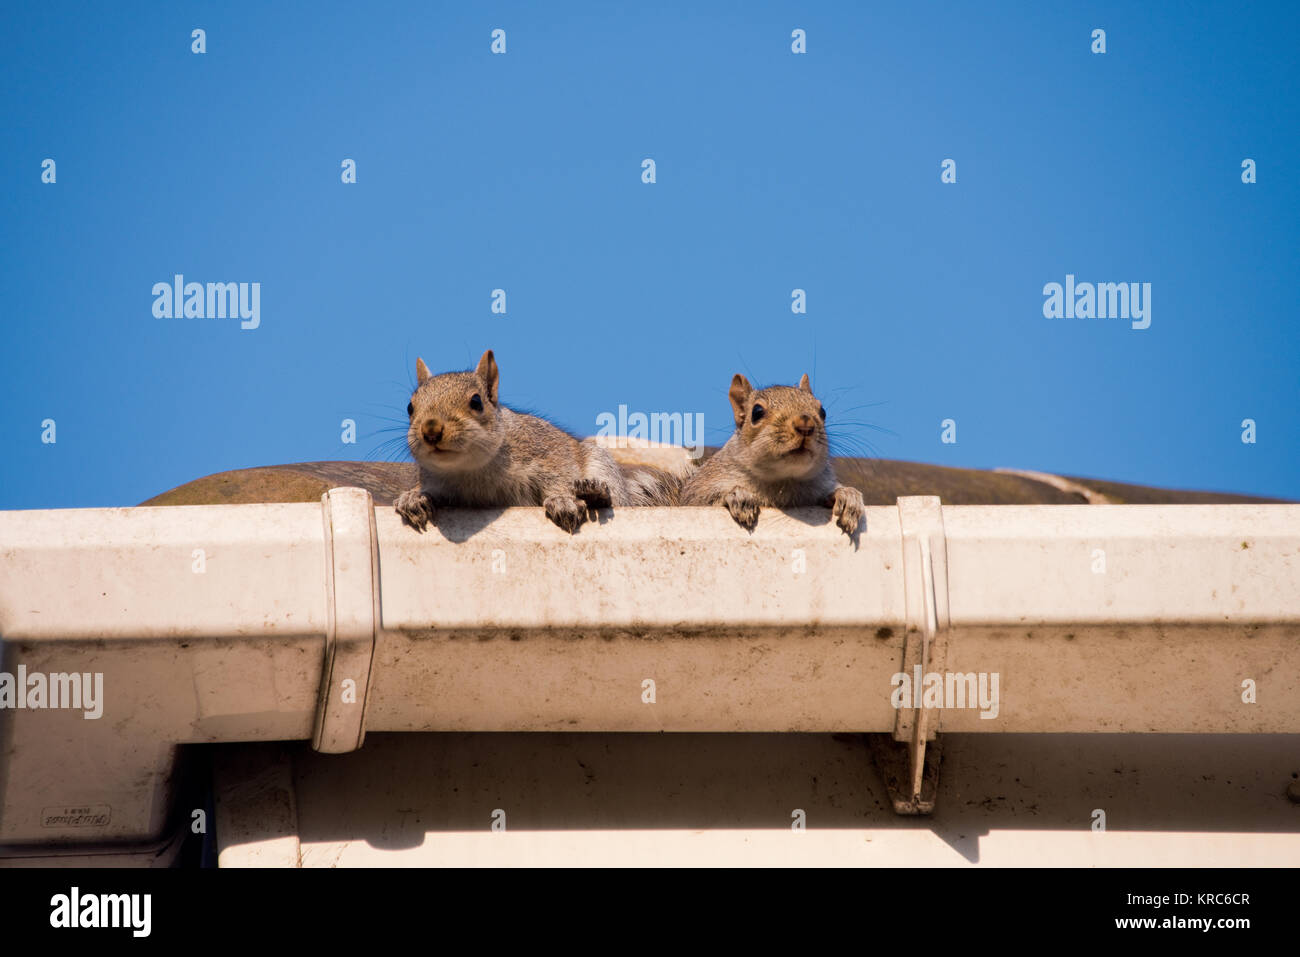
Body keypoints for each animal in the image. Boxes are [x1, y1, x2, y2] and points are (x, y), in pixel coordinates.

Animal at [394, 349, 635, 533]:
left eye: (476, 401)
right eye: (409, 407)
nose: (431, 430)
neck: (470, 469)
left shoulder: (547, 451)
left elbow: (562, 475)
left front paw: (562, 500)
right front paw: (413, 497)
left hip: (602, 464)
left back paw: (595, 493)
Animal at [680, 372, 864, 539]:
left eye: (823, 412)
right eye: (757, 412)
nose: (805, 424)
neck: (784, 481)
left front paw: (847, 496)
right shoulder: (702, 487)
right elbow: (696, 501)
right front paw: (737, 495)